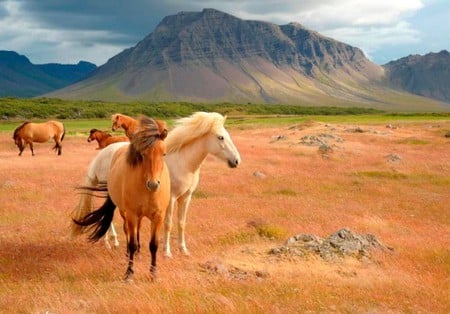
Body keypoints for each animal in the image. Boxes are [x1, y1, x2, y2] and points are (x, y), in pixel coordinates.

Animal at [73, 116, 170, 282]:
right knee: (128, 231)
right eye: (143, 154)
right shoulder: (131, 215)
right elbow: (131, 243)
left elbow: (154, 245)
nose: (153, 184)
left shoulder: (158, 217)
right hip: (126, 213)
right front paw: (129, 273)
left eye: (163, 154)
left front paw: (153, 273)